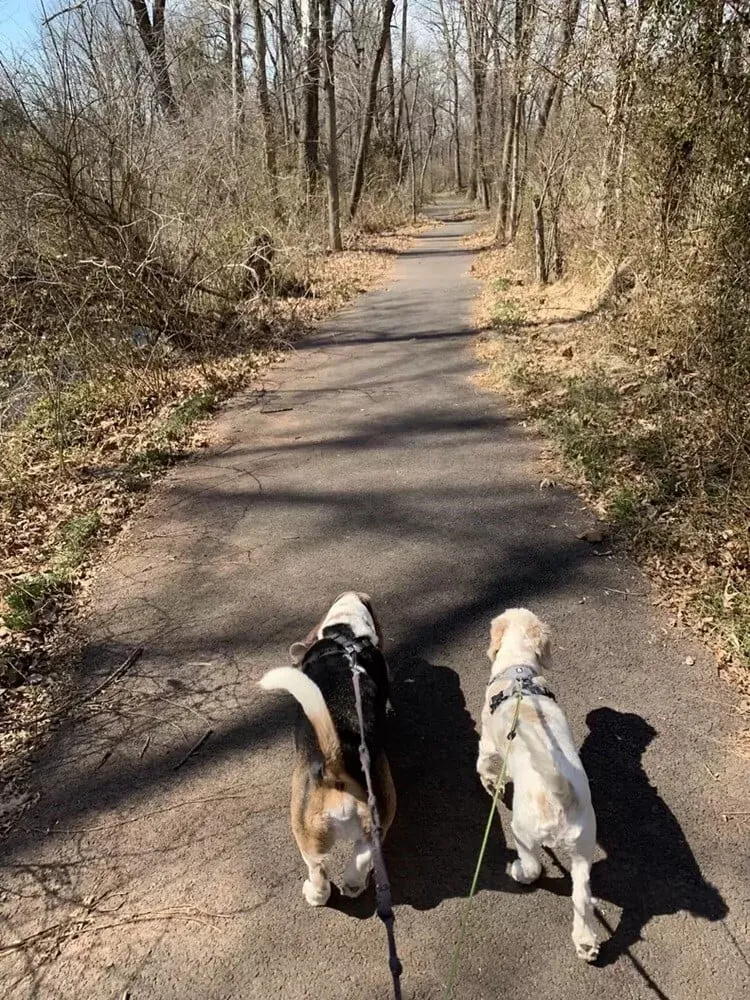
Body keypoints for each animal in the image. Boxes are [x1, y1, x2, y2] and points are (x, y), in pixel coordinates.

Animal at [260, 592, 396, 908]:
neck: (345, 633)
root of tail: (337, 766)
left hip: (304, 832)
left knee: (318, 871)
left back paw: (313, 894)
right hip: (375, 824)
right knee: (359, 861)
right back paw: (354, 885)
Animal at [478, 608, 604, 960]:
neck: (519, 669)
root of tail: (559, 795)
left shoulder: (488, 743)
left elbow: (484, 764)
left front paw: (490, 783)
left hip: (523, 832)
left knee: (534, 867)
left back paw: (519, 872)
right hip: (583, 848)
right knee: (580, 895)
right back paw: (585, 941)